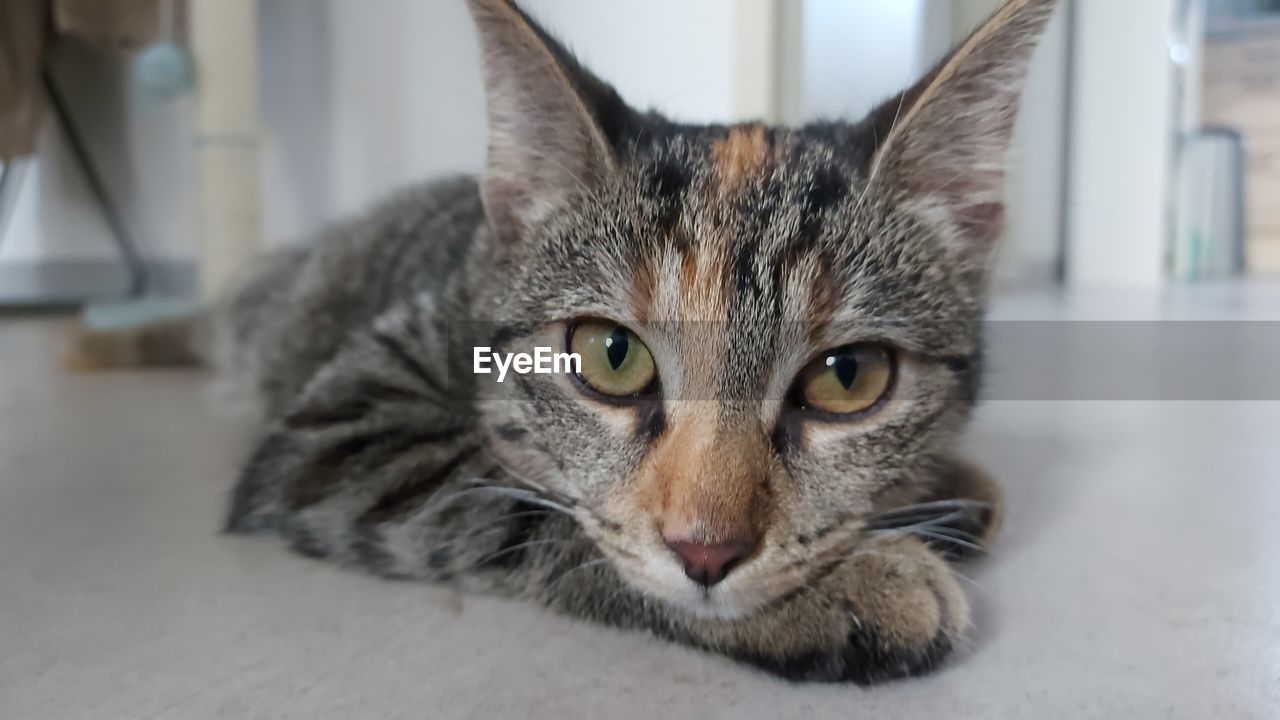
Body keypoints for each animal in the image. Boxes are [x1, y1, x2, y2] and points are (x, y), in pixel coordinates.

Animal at [222, 0, 1059, 676]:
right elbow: (521, 507)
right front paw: (857, 584)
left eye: (846, 375)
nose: (706, 549)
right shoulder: (341, 426)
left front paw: (939, 492)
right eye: (611, 356)